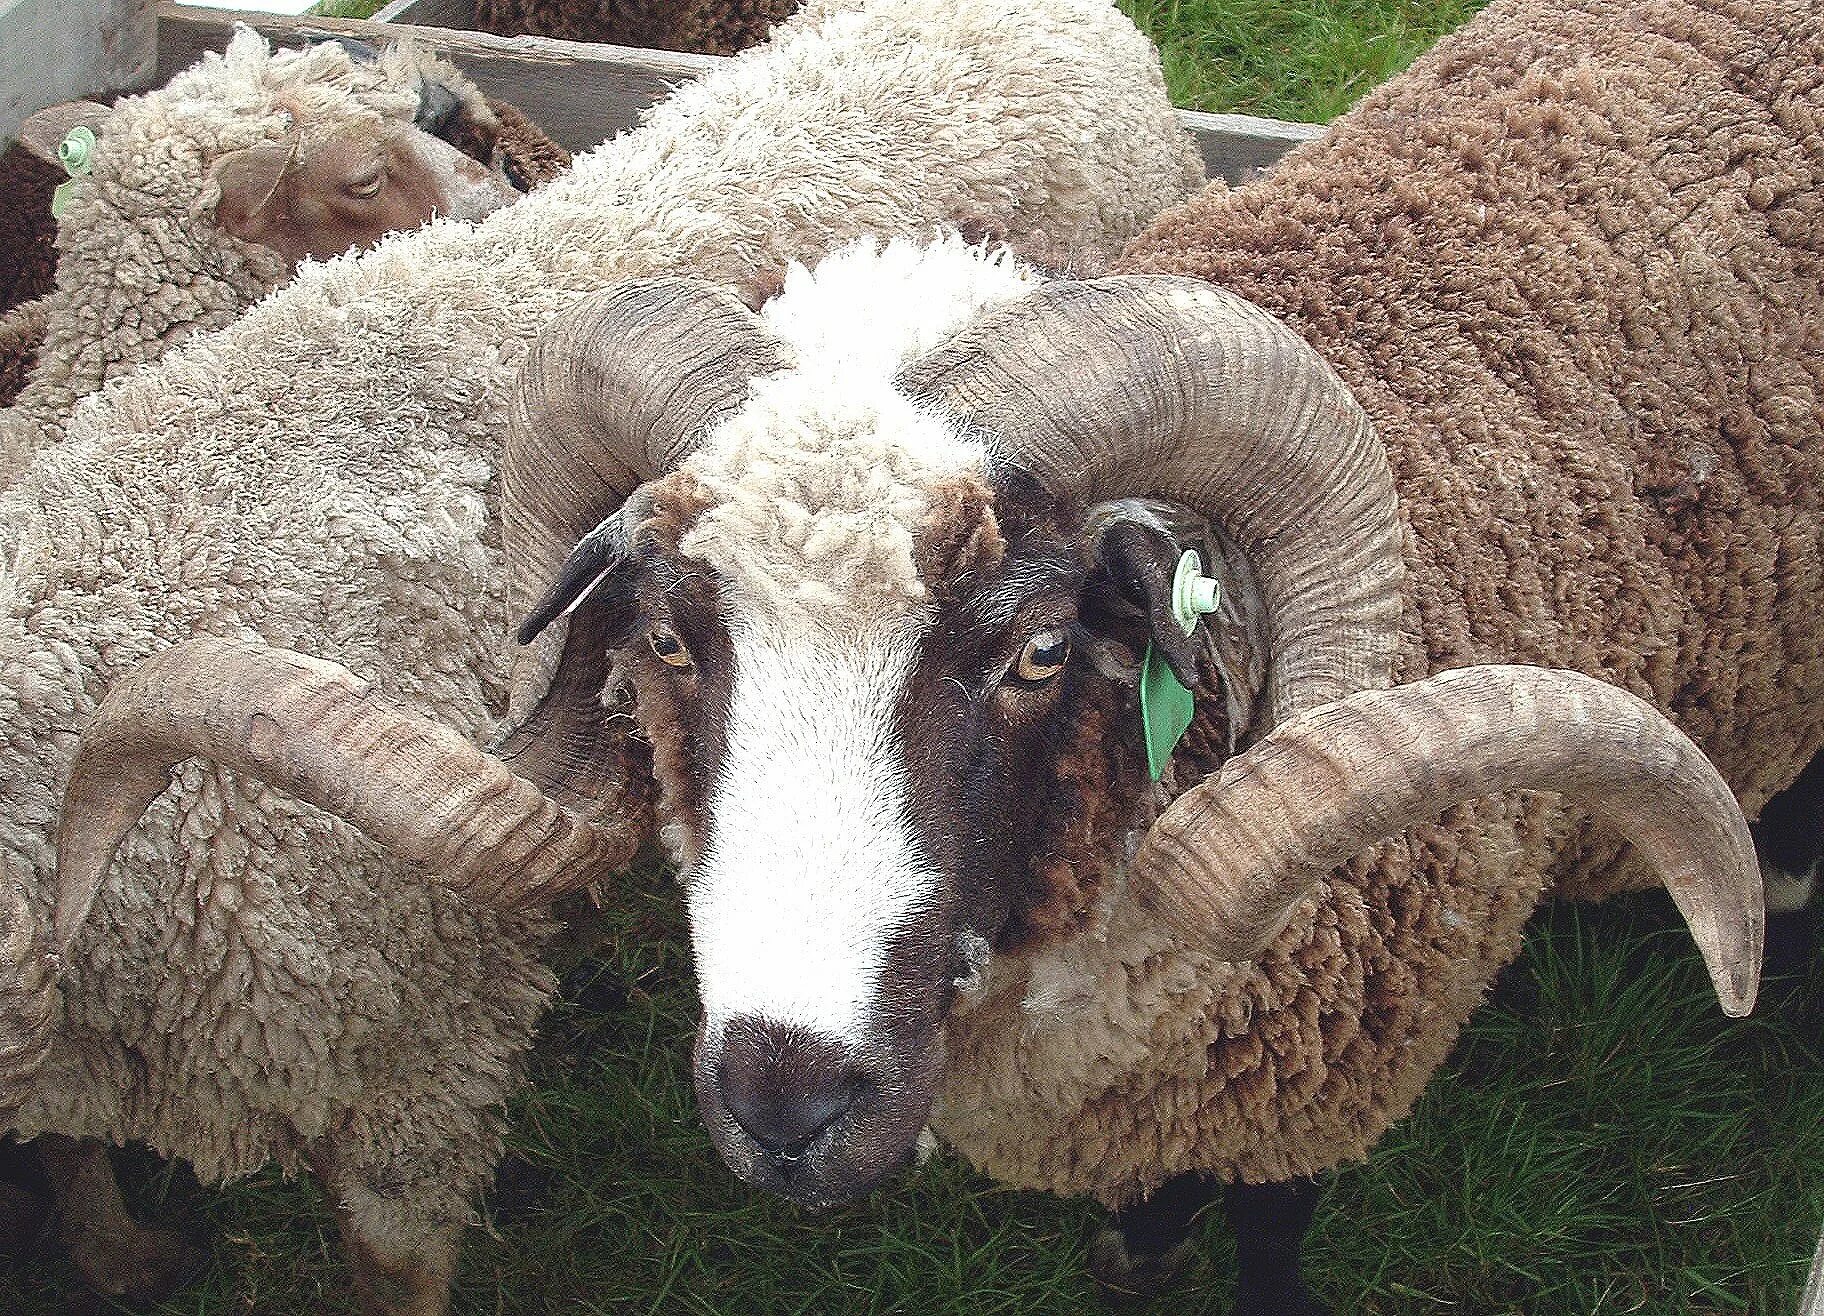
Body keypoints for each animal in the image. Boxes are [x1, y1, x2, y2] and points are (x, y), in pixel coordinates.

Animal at [0, 5, 1203, 1306]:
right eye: (363, 176)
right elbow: (68, 1148)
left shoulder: (418, 1073)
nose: (489, 189)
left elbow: (392, 1264)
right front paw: (118, 1254)